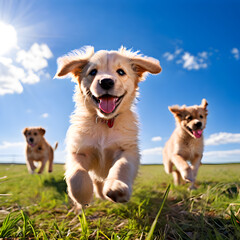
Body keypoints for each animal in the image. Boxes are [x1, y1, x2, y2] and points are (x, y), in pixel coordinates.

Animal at [55, 46, 162, 207]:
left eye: (121, 72)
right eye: (93, 72)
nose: (106, 81)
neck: (105, 123)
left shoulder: (128, 149)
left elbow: (122, 165)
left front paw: (117, 187)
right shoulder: (79, 150)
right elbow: (77, 173)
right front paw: (83, 197)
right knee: (97, 182)